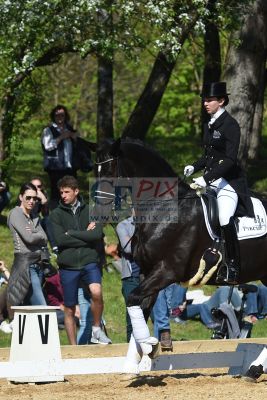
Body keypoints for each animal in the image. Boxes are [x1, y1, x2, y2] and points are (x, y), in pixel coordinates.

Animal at [93, 138, 267, 322]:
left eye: (109, 172)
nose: (98, 212)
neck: (165, 208)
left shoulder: (168, 271)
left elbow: (133, 298)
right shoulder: (147, 272)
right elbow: (142, 308)